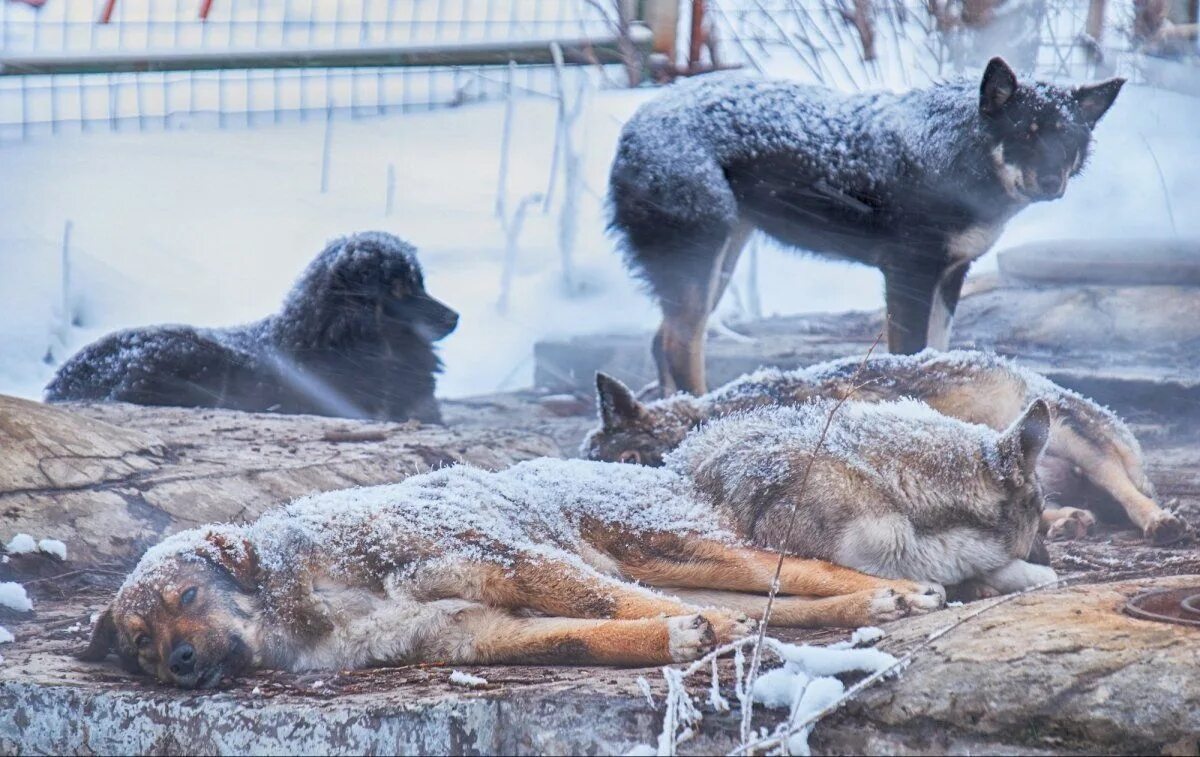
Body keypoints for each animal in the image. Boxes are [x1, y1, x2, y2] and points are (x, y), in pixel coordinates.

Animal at [82, 400, 1060, 691]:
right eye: (139, 643)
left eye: (188, 600)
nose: (181, 667)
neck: (306, 596)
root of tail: (682, 460)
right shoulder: (464, 629)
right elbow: (585, 635)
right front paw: (671, 639)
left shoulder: (501, 556)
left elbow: (599, 606)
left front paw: (690, 633)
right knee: (790, 600)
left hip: (671, 546)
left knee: (802, 571)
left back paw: (896, 592)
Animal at [609, 57, 1123, 395]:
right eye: (1023, 135)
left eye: (1066, 142)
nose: (1051, 182)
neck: (954, 157)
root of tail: (635, 123)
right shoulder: (908, 275)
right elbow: (910, 356)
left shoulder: (950, 274)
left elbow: (938, 350)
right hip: (700, 264)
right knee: (679, 344)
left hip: (716, 267)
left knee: (663, 340)